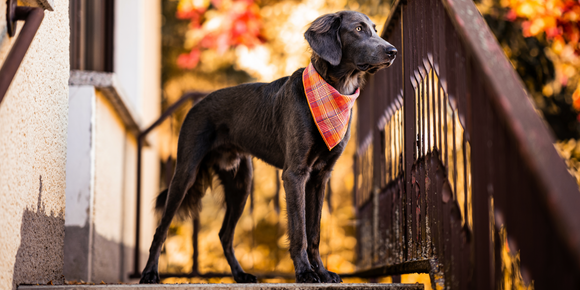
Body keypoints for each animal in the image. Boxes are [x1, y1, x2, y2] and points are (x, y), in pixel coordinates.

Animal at [140, 10, 394, 284]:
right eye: (358, 29)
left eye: (375, 29)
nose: (393, 51)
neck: (333, 90)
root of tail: (197, 104)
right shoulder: (295, 174)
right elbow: (300, 231)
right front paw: (305, 272)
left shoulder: (320, 176)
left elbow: (314, 232)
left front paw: (323, 273)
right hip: (186, 173)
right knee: (162, 229)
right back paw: (149, 274)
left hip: (240, 184)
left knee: (224, 235)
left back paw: (240, 275)